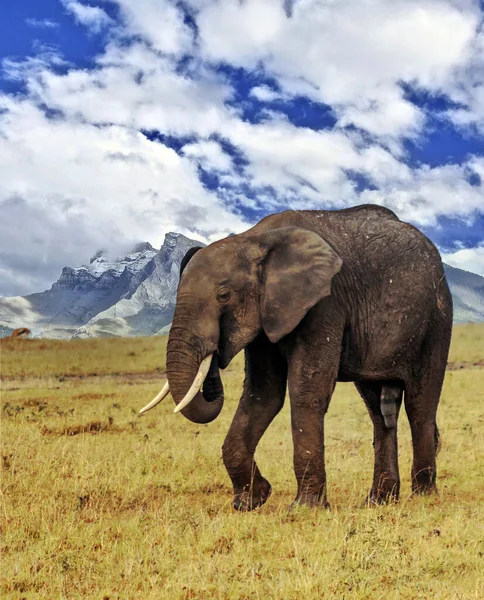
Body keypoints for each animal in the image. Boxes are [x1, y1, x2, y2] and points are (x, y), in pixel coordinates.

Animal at [140, 205, 454, 510]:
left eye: (223, 295)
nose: (217, 352)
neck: (252, 239)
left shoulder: (325, 302)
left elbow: (307, 391)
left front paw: (305, 508)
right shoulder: (266, 317)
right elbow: (262, 395)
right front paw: (252, 500)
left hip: (436, 317)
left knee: (420, 404)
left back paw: (423, 497)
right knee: (379, 411)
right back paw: (379, 501)